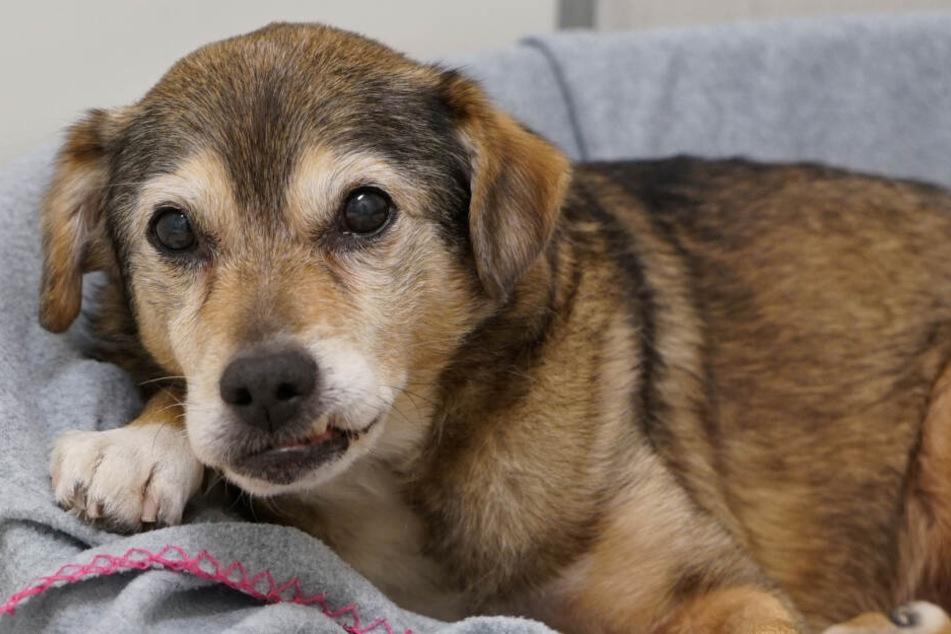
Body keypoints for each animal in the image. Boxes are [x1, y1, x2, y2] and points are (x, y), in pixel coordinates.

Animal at [39, 21, 951, 632]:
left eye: (365, 209)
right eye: (173, 231)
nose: (265, 385)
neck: (402, 476)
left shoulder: (720, 593)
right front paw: (138, 441)